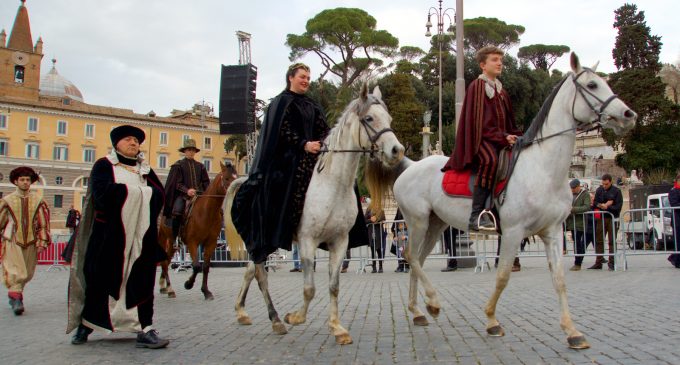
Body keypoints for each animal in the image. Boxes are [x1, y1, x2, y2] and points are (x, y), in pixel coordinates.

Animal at [158, 162, 238, 298]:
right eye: (227, 178)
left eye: (236, 176)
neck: (206, 211)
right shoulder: (192, 242)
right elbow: (196, 266)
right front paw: (188, 284)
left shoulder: (210, 243)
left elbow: (205, 267)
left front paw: (206, 291)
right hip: (166, 238)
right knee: (164, 262)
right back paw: (170, 289)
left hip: (172, 245)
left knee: (166, 261)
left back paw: (164, 287)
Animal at [226, 84, 404, 342]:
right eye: (369, 118)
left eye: (388, 118)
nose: (396, 150)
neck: (332, 184)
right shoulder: (307, 241)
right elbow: (309, 289)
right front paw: (295, 318)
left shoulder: (340, 241)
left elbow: (334, 286)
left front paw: (337, 328)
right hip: (259, 240)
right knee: (260, 275)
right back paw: (276, 320)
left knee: (250, 271)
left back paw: (242, 311)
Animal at [390, 52, 636, 348]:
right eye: (592, 85)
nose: (629, 115)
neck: (543, 168)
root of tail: (411, 165)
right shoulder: (512, 232)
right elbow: (503, 276)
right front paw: (491, 320)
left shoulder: (552, 232)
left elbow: (559, 279)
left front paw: (572, 331)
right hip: (417, 222)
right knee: (410, 256)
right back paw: (433, 303)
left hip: (435, 224)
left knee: (418, 259)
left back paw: (418, 311)